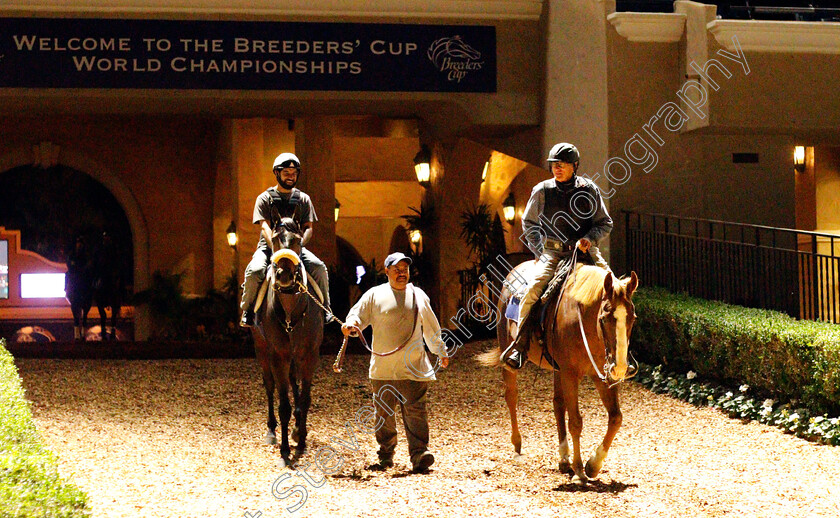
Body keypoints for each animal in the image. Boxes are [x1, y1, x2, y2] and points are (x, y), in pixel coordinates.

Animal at [251, 217, 324, 466]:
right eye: (274, 239)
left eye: (298, 240)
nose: (284, 275)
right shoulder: (278, 356)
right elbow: (283, 404)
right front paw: (284, 450)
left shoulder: (310, 354)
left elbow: (305, 398)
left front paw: (300, 440)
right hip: (262, 350)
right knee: (269, 386)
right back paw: (272, 431)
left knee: (295, 384)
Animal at [482, 262, 640, 486]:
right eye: (604, 318)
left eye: (632, 318)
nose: (620, 367)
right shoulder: (570, 375)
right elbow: (575, 422)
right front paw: (580, 468)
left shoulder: (598, 375)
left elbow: (616, 418)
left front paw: (593, 464)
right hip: (509, 355)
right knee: (511, 397)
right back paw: (518, 444)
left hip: (558, 371)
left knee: (557, 404)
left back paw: (564, 458)